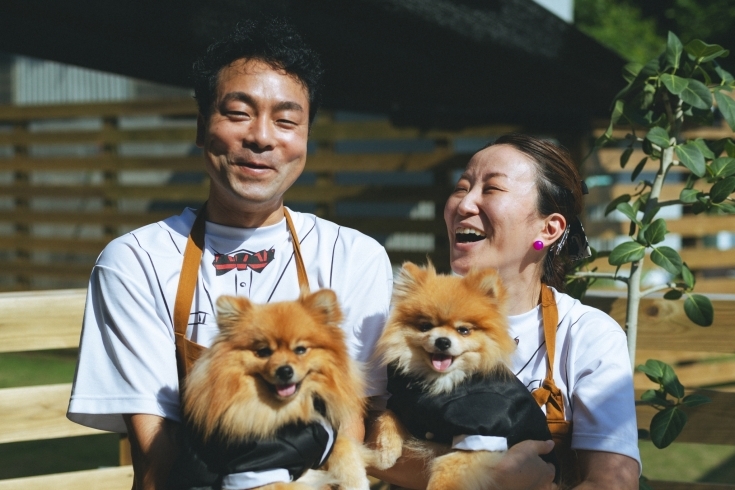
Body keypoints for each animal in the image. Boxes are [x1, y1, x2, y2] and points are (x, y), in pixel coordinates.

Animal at [182, 290, 370, 490]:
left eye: (300, 350)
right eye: (264, 351)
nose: (285, 370)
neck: (288, 412)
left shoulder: (327, 440)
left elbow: (346, 447)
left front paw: (355, 482)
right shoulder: (254, 474)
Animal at [370, 264, 556, 490]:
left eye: (464, 330)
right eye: (425, 326)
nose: (442, 341)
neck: (441, 383)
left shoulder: (483, 434)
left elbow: (447, 470)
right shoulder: (406, 406)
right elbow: (387, 416)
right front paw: (385, 452)